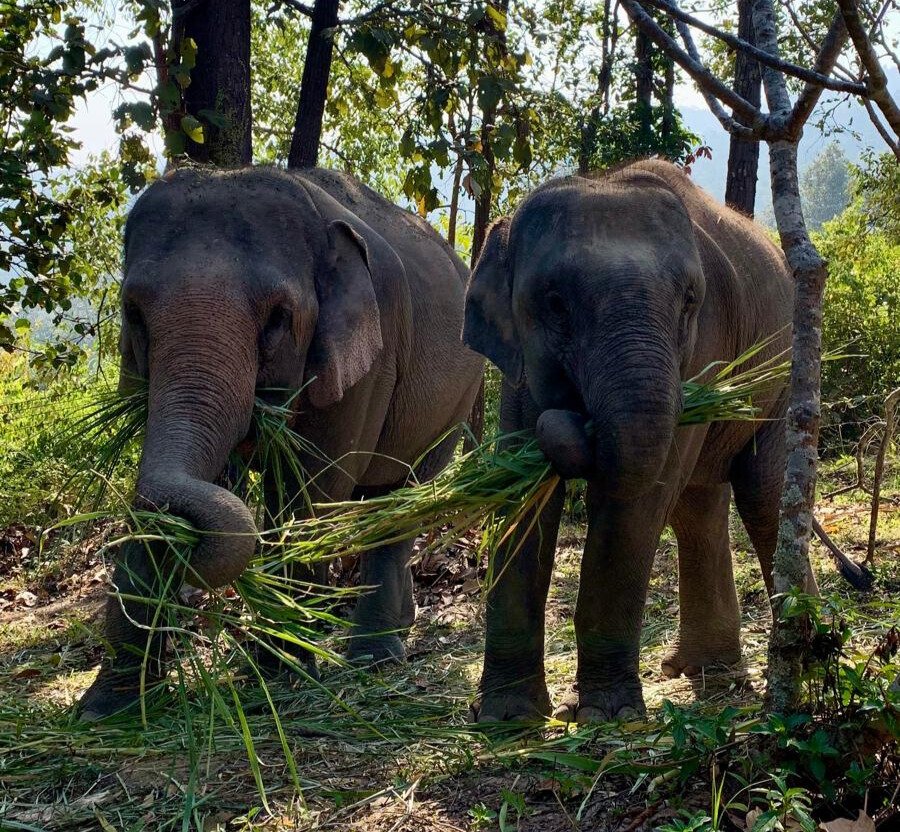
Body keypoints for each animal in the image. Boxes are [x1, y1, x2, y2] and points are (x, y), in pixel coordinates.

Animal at [78, 166, 486, 720]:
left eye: (278, 316)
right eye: (133, 312)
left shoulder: (369, 358)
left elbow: (308, 489)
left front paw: (280, 672)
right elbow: (189, 480)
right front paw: (105, 708)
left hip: (456, 400)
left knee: (401, 500)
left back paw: (374, 657)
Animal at [460, 161, 812, 720]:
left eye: (689, 301)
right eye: (555, 304)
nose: (574, 422)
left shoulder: (704, 349)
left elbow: (637, 500)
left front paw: (608, 714)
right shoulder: (518, 366)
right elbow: (522, 498)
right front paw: (507, 716)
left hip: (780, 378)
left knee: (763, 496)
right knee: (698, 508)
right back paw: (704, 670)